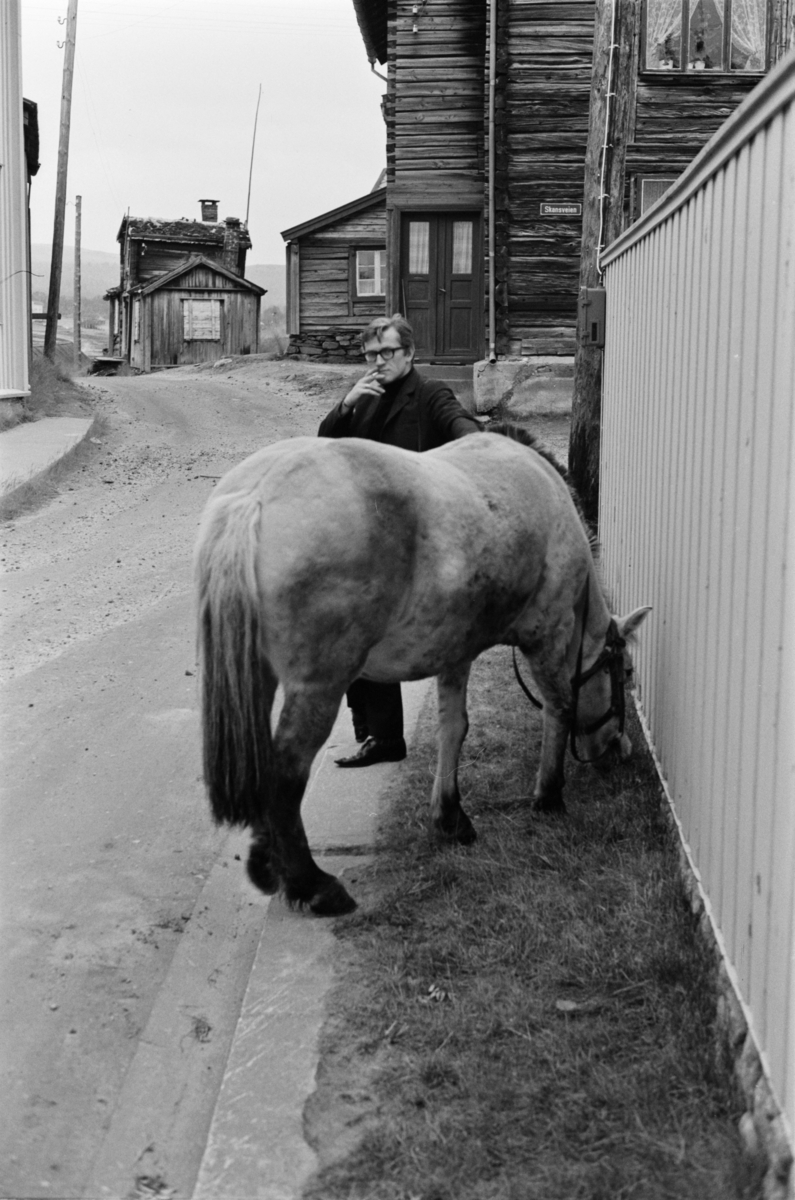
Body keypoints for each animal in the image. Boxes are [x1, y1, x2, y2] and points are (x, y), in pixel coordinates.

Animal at [195, 427, 653, 912]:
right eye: (625, 674)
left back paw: (270, 864)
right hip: (318, 687)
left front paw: (450, 817)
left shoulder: (456, 654)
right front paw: (549, 796)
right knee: (285, 774)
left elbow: (453, 729)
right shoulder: (548, 634)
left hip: (257, 678)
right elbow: (559, 707)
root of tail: (259, 490)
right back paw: (312, 885)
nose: (620, 751)